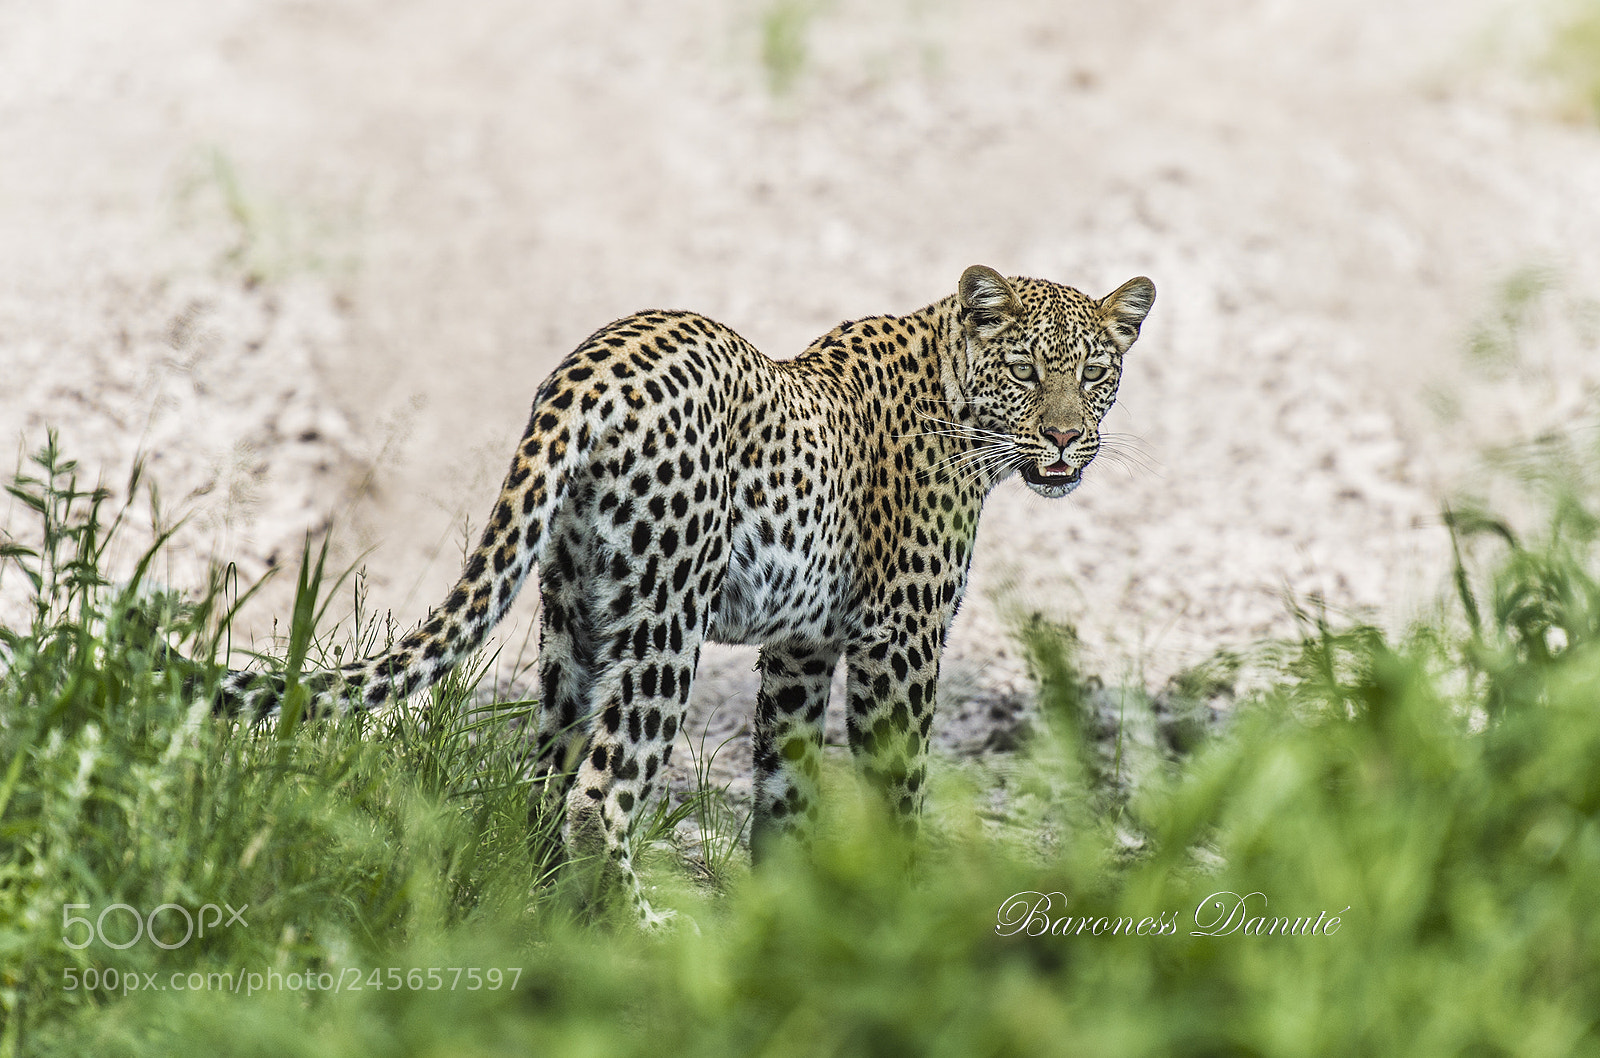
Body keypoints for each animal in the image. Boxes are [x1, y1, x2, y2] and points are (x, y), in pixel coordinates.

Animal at [213, 265, 1155, 926]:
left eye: (1096, 374)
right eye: (1027, 371)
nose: (1066, 438)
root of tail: (588, 371)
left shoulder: (801, 648)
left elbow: (787, 784)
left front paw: (787, 913)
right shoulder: (902, 641)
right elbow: (898, 787)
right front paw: (902, 902)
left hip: (574, 618)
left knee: (548, 771)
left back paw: (542, 912)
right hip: (666, 622)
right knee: (600, 794)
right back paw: (647, 930)